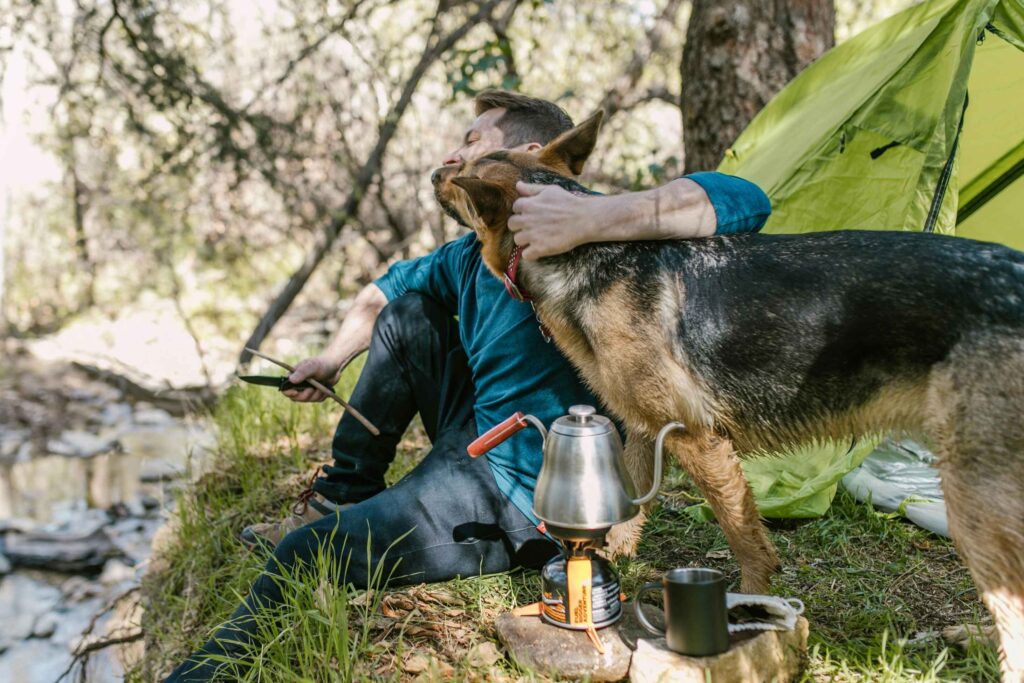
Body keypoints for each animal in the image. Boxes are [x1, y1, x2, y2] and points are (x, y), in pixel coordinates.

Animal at [430, 114, 1024, 679]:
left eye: (468, 166)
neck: (589, 255)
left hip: (973, 499)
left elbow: (746, 540)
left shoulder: (698, 440)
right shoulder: (641, 431)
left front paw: (748, 604)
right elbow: (621, 525)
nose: (437, 171)